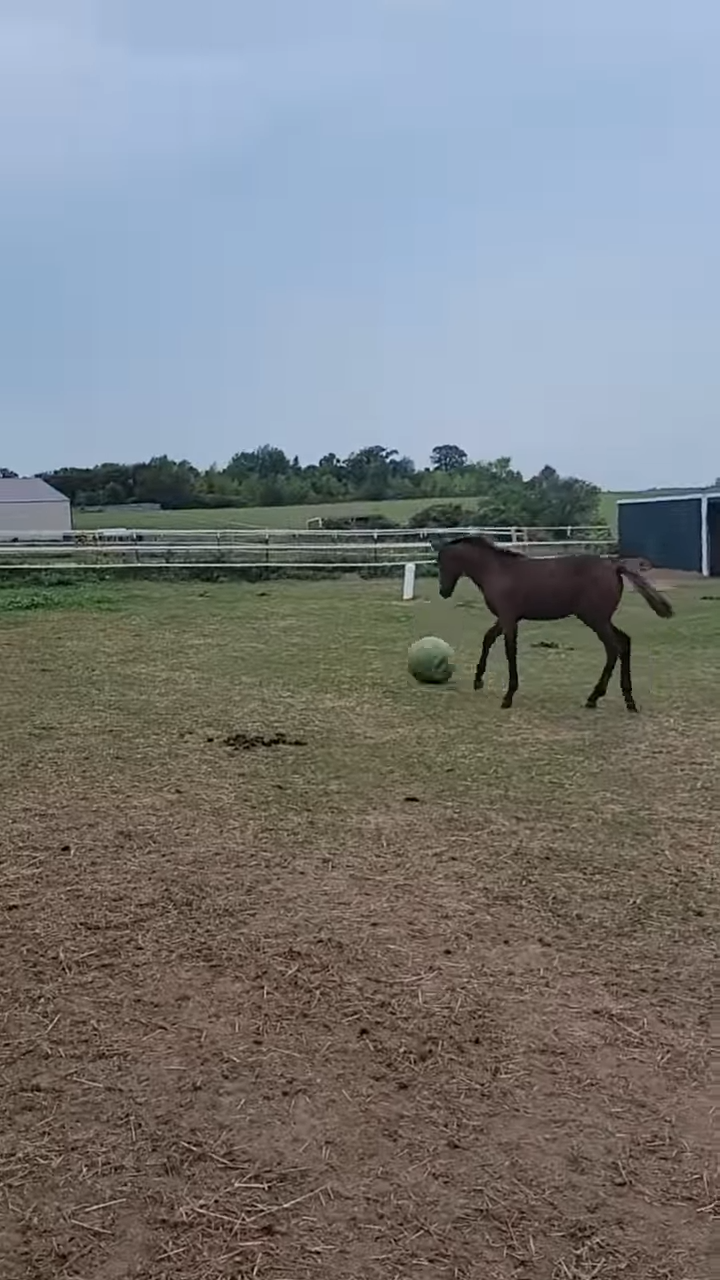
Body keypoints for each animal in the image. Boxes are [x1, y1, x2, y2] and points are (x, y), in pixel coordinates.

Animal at [430, 529, 671, 711]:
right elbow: (488, 638)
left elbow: (510, 651)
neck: (497, 571)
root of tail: (613, 565)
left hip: (595, 619)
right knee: (624, 642)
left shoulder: (509, 618)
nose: (443, 591)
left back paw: (594, 697)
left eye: (443, 562)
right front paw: (478, 680)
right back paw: (627, 700)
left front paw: (508, 696)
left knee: (614, 649)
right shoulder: (506, 617)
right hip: (601, 618)